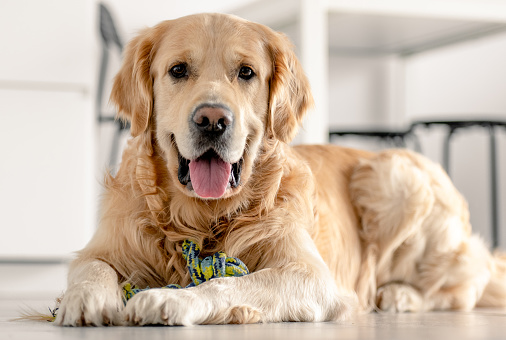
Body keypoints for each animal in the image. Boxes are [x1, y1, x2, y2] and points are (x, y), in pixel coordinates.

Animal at [53, 13, 506, 326]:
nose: (213, 120)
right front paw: (86, 299)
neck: (201, 218)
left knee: (463, 286)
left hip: (395, 177)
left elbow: (229, 281)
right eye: (178, 70)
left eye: (246, 73)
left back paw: (400, 295)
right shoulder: (106, 245)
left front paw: (174, 298)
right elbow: (90, 267)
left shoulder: (312, 275)